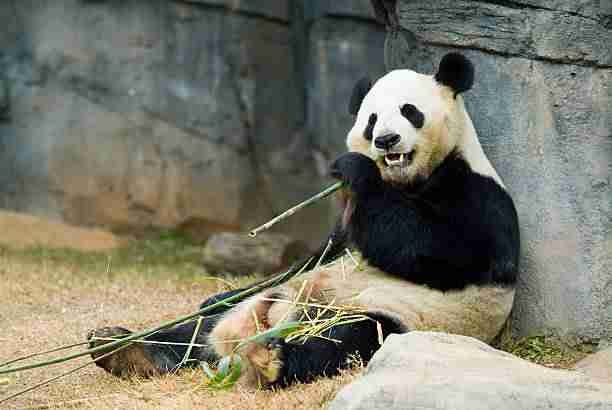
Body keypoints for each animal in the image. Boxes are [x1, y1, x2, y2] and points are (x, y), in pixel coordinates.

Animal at [89, 53, 520, 388]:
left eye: (409, 112)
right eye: (372, 119)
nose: (386, 140)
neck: (407, 180)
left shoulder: (477, 195)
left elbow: (440, 249)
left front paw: (355, 169)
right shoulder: (344, 228)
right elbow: (323, 251)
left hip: (392, 315)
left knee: (346, 340)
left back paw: (272, 360)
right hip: (262, 301)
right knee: (196, 328)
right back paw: (121, 347)